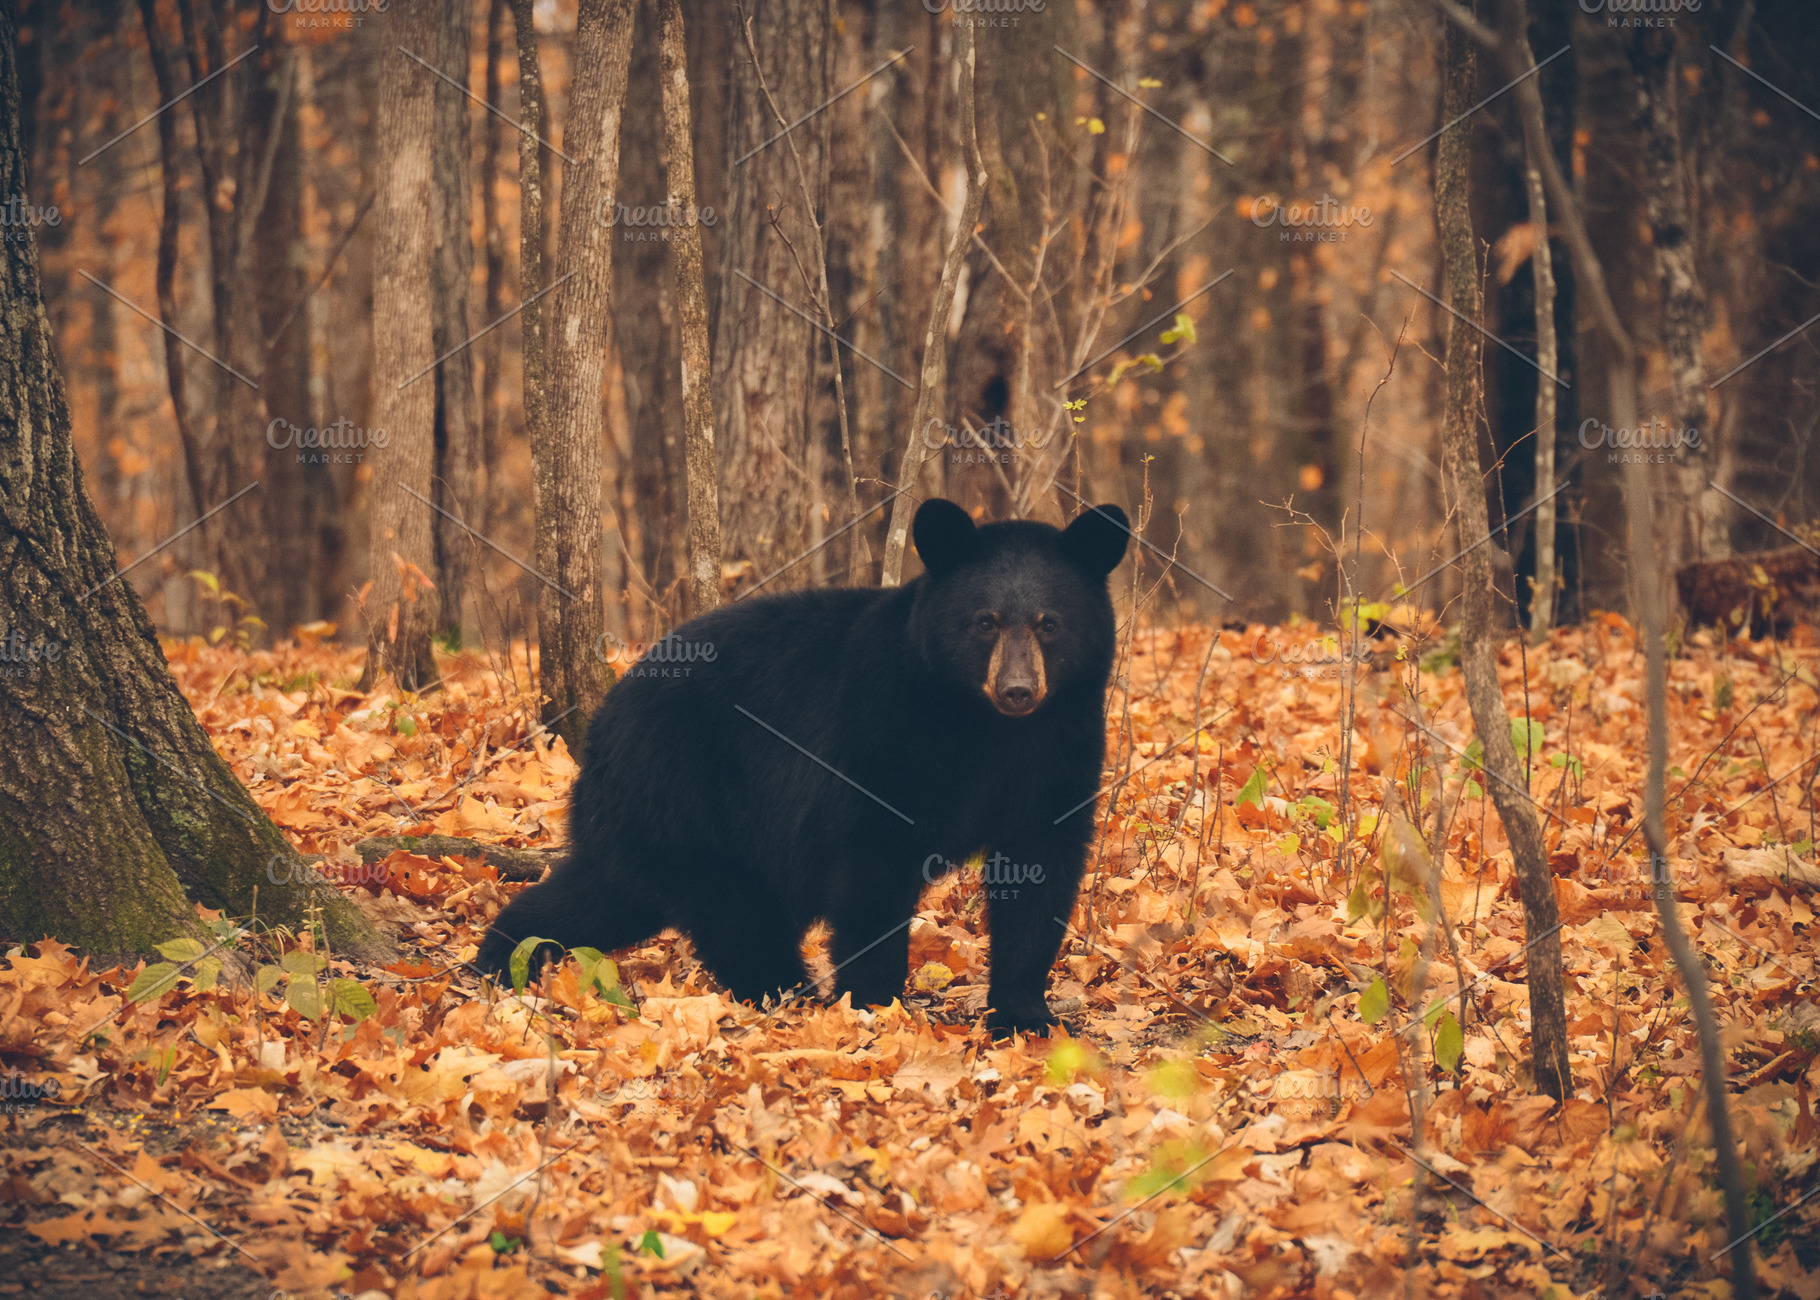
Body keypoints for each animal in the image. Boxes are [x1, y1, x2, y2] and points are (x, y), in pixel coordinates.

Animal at [475, 497, 1130, 1034]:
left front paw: (1024, 1015)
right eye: (985, 622)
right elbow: (872, 865)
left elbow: (1039, 866)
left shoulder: (1061, 746)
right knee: (732, 913)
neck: (986, 727)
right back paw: (789, 992)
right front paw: (875, 1004)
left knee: (604, 893)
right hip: (686, 792)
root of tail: (599, 726)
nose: (1018, 689)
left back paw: (507, 952)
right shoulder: (882, 731)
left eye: (1049, 623)